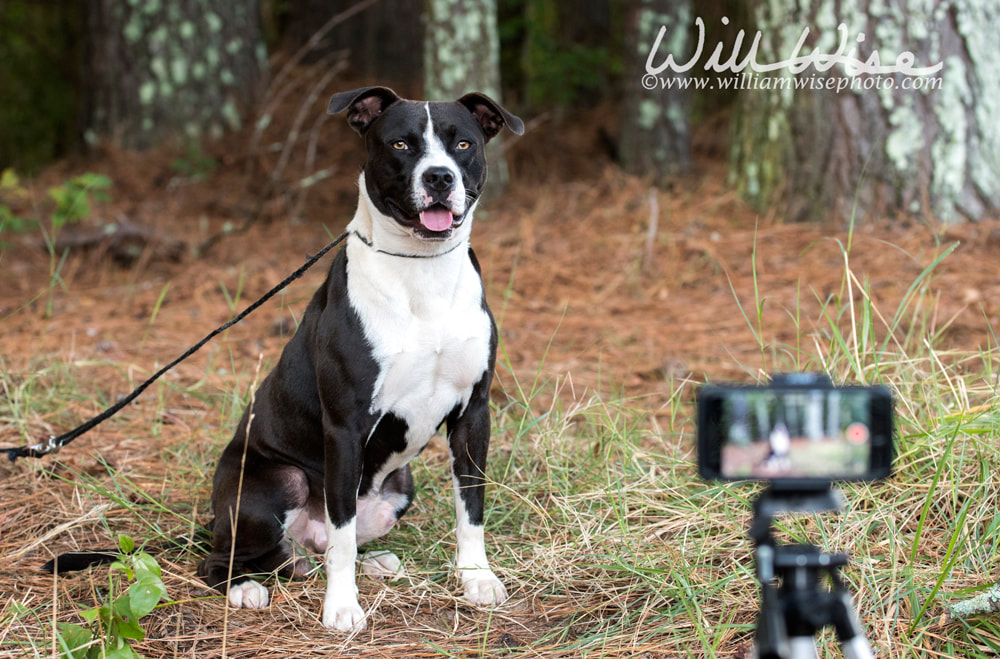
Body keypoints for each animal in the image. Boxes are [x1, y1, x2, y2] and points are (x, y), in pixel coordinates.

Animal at [195, 85, 524, 632]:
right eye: (400, 144)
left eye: (462, 144)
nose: (439, 177)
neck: (421, 271)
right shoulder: (346, 426)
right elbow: (343, 532)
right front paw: (342, 606)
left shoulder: (474, 414)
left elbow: (471, 507)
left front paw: (476, 578)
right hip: (275, 483)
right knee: (231, 556)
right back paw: (245, 587)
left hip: (400, 486)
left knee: (312, 549)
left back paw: (374, 563)